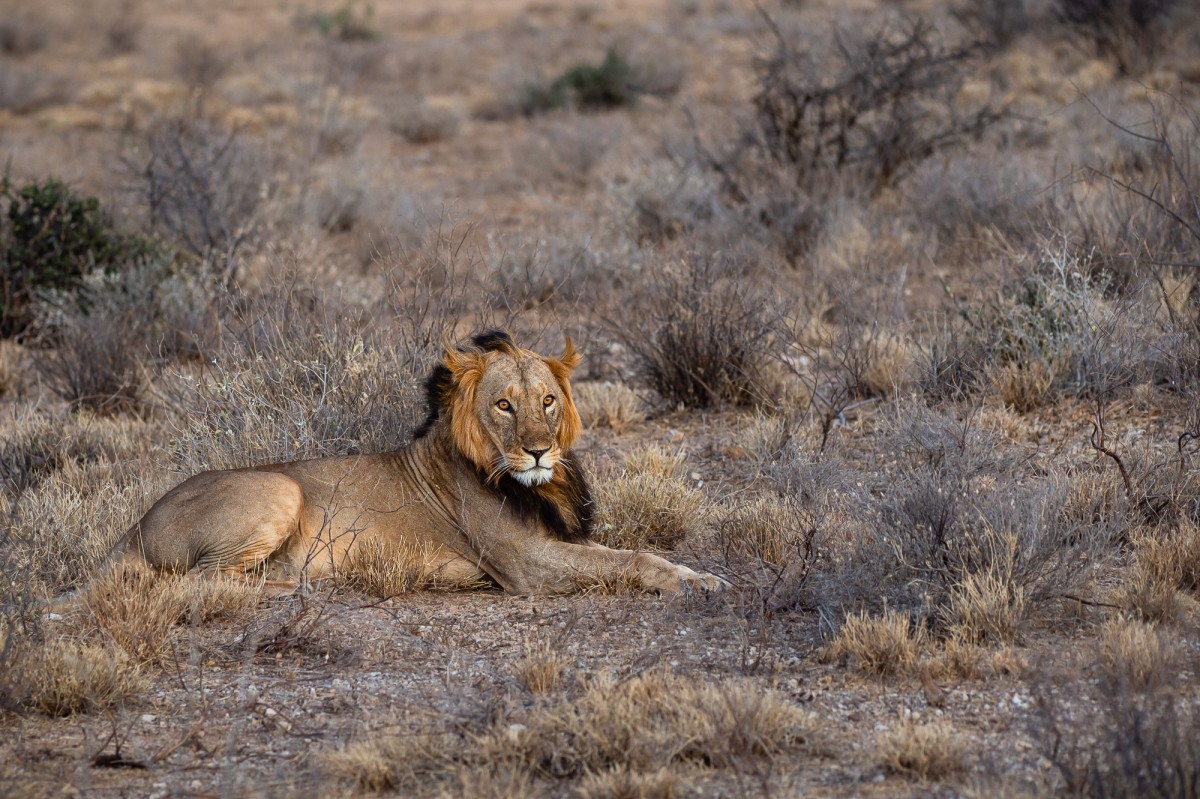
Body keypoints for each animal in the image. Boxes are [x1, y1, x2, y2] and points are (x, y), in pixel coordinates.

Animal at [112, 326, 724, 595]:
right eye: (504, 405)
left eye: (547, 401)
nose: (538, 449)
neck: (536, 483)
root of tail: (130, 531)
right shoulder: (527, 564)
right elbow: (631, 559)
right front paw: (692, 584)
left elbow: (636, 550)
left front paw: (700, 576)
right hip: (280, 490)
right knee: (199, 583)